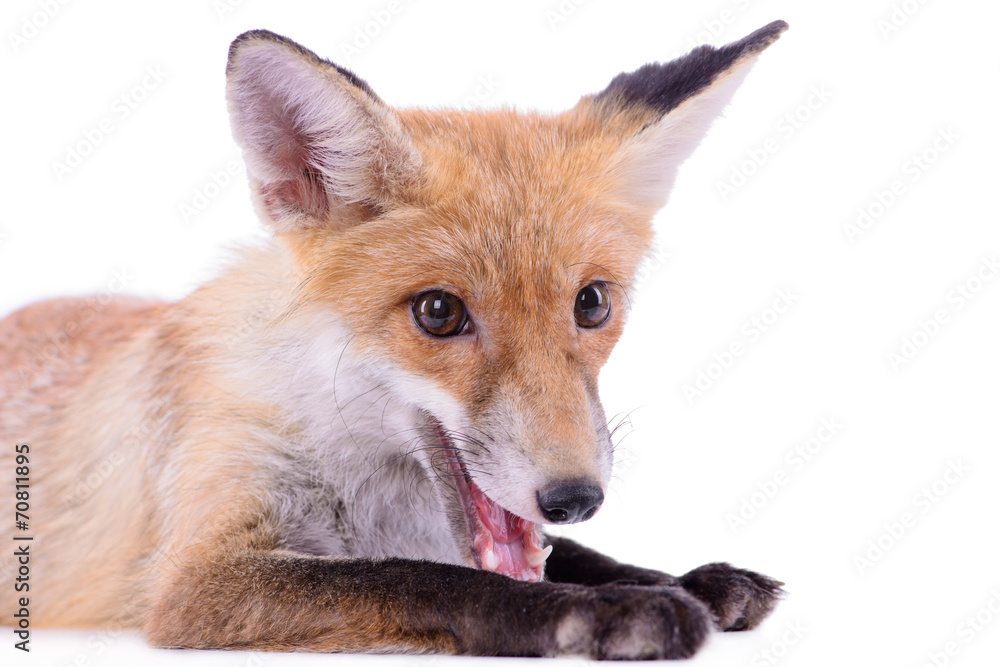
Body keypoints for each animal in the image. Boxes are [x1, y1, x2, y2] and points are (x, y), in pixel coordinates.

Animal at [2, 21, 788, 659]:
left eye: (591, 304)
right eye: (439, 312)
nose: (575, 496)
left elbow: (571, 553)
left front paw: (683, 579)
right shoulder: (197, 577)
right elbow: (428, 580)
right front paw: (603, 610)